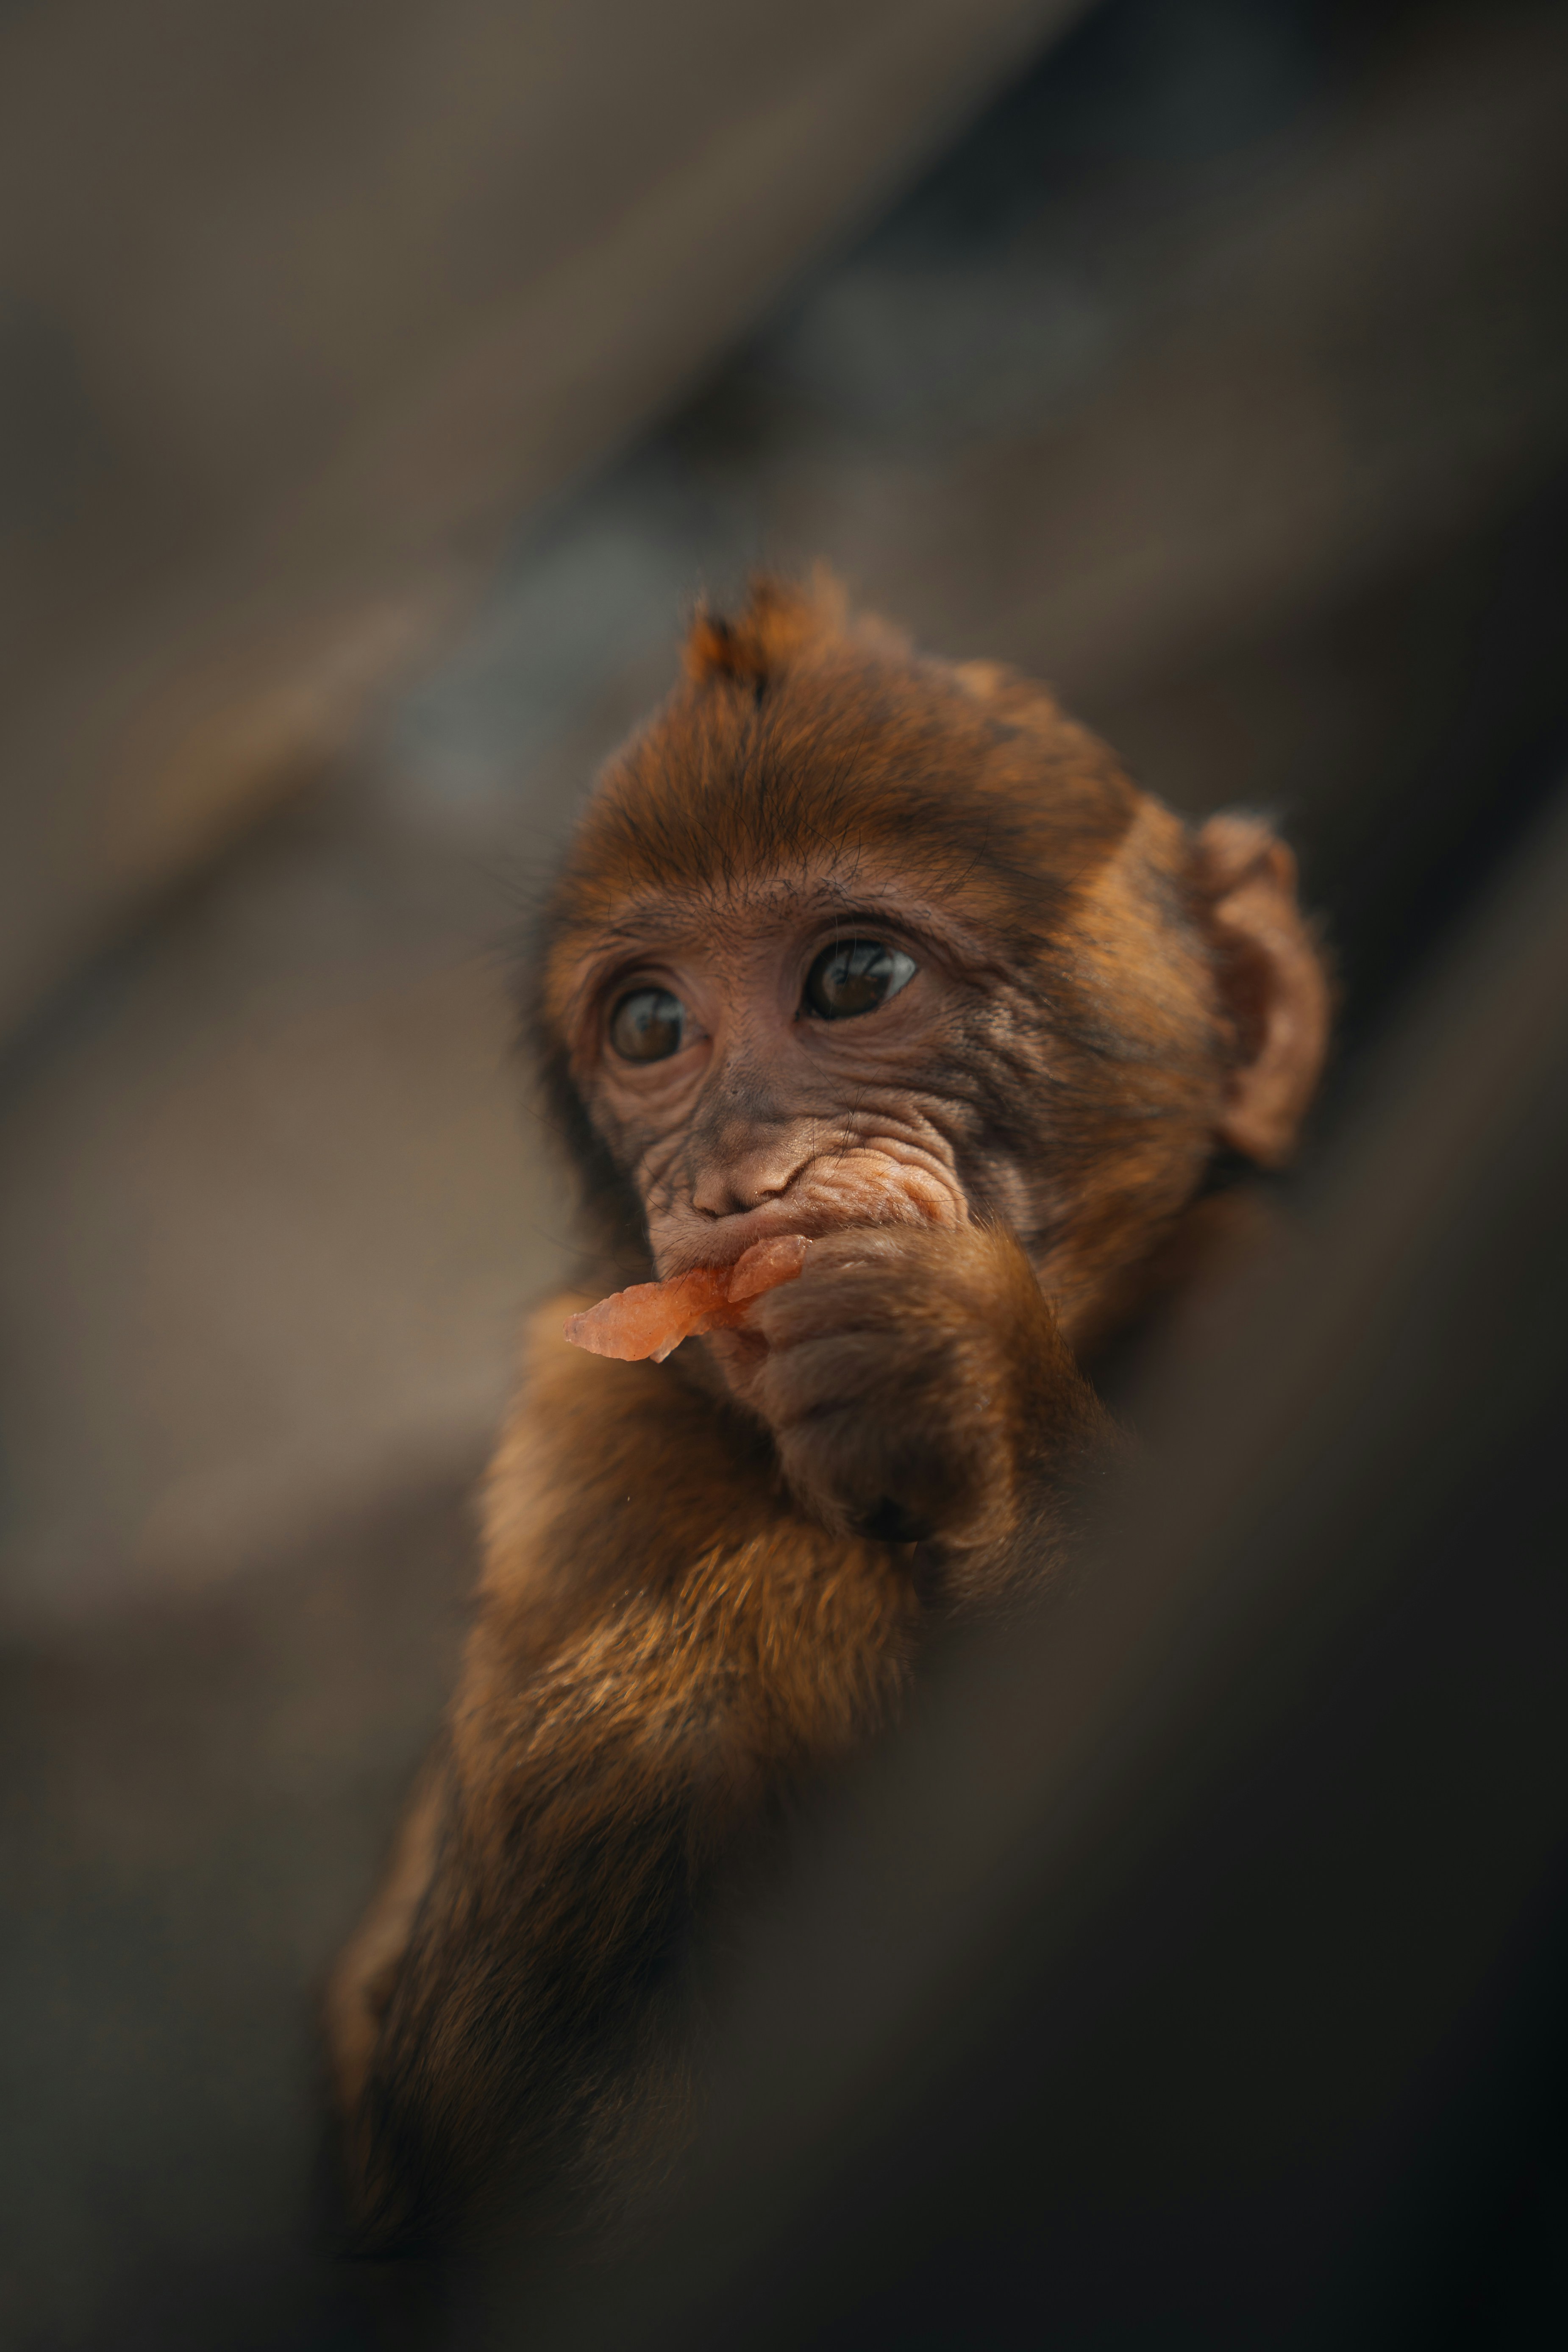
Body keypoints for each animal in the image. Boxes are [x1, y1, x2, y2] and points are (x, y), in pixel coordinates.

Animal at [323, 573, 1330, 2255]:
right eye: (650, 1026)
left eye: (856, 979)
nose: (738, 1184)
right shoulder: (593, 1461)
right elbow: (507, 2123)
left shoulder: (1249, 1275)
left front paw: (946, 1362)